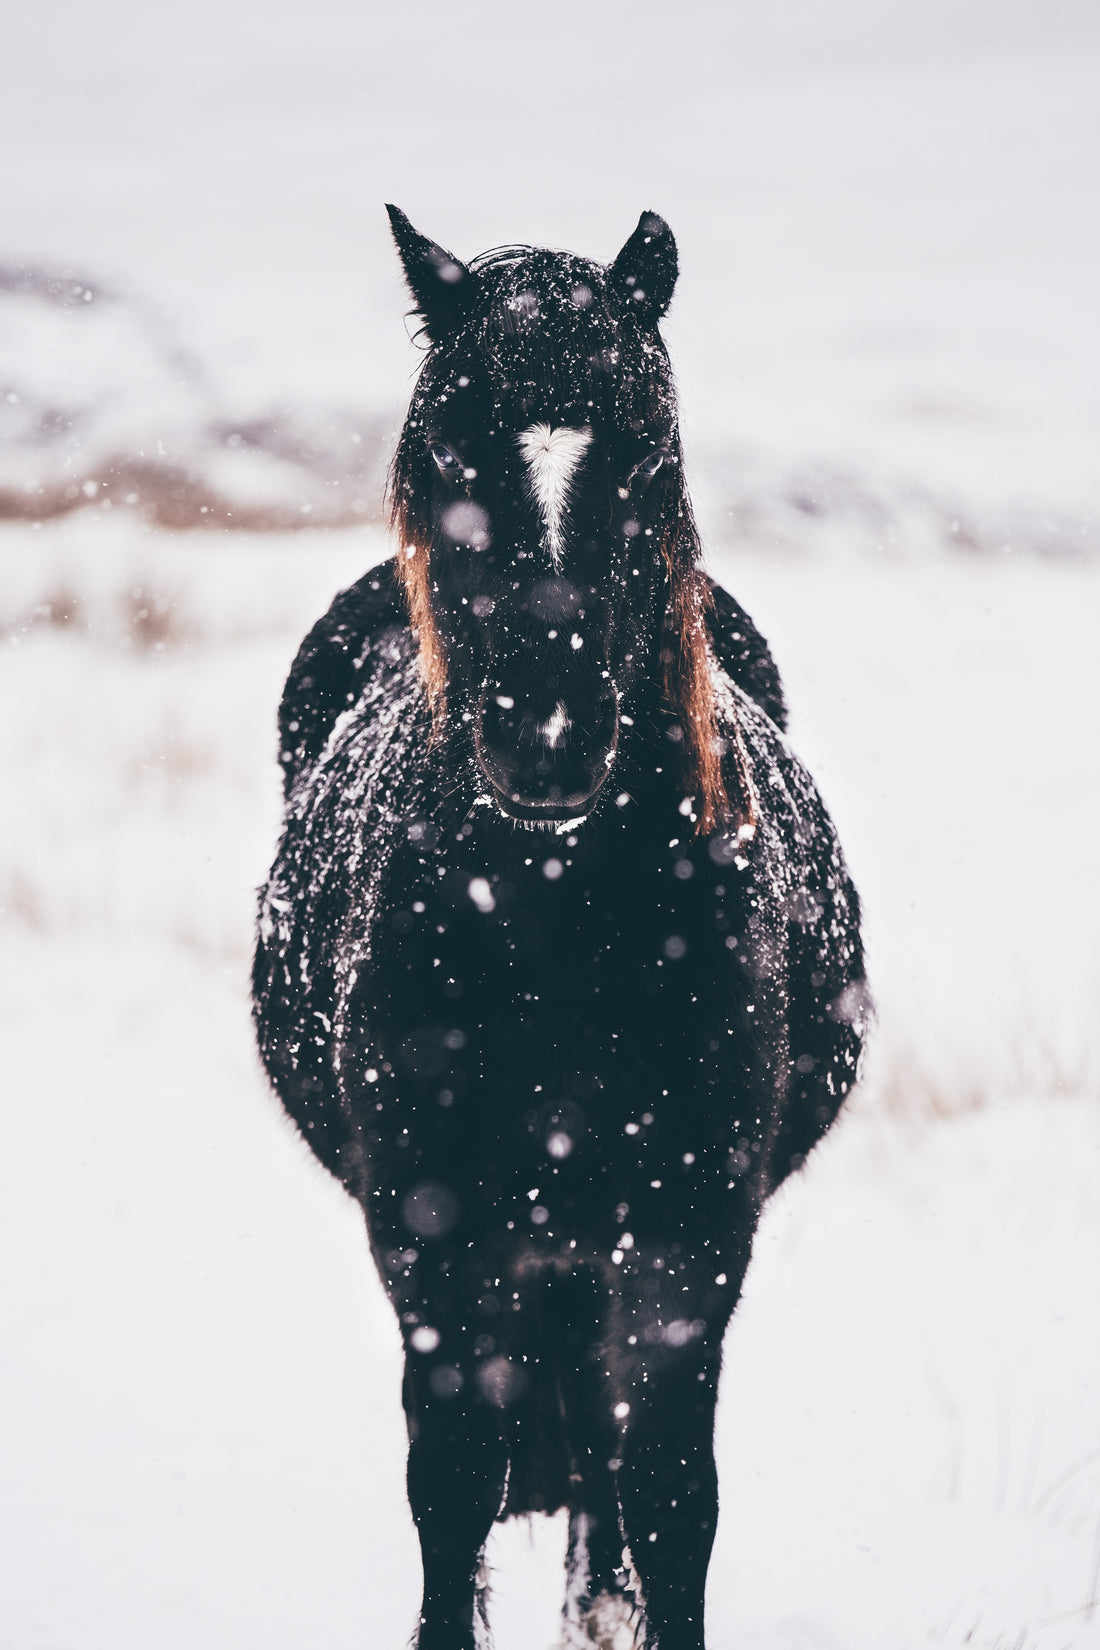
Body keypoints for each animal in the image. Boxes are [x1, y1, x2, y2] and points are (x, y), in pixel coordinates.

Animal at [252, 206, 869, 1650]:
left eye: (644, 448)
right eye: (445, 447)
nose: (545, 738)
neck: (559, 931)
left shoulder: (690, 1236)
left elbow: (672, 1485)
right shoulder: (431, 1236)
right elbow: (453, 1478)